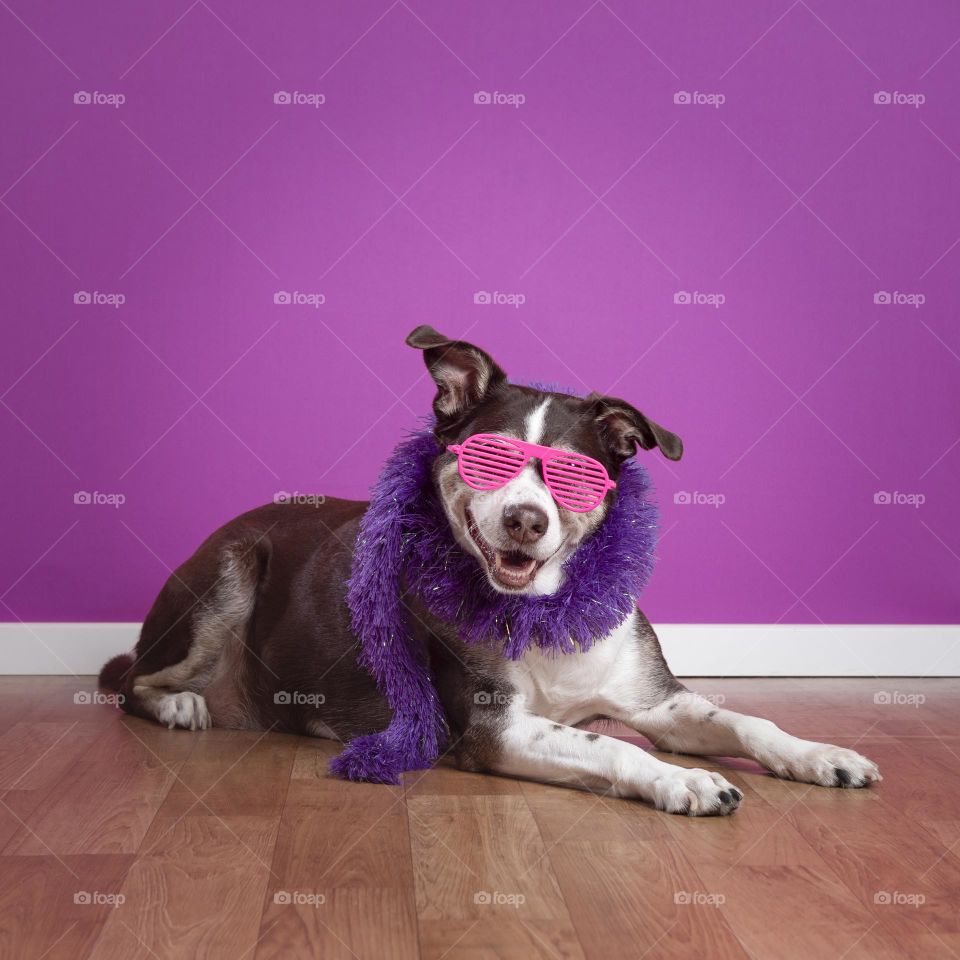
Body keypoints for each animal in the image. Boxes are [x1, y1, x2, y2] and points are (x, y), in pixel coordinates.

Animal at [97, 326, 876, 812]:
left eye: (574, 475)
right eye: (487, 458)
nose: (526, 519)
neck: (544, 610)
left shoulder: (660, 703)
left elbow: (746, 719)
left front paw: (819, 754)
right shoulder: (495, 729)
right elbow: (606, 743)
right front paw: (683, 782)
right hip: (230, 571)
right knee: (130, 678)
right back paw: (179, 704)